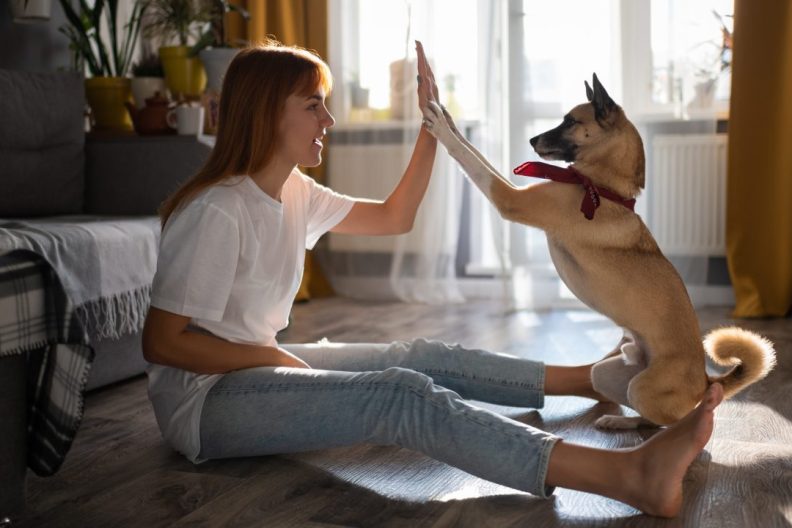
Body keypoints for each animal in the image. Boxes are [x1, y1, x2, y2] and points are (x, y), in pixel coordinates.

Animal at [420, 63, 772, 424]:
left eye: (570, 122)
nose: (531, 139)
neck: (600, 186)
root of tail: (705, 380)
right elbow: (475, 152)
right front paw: (446, 116)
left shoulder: (508, 198)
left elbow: (470, 159)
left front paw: (441, 127)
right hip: (604, 374)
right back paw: (619, 407)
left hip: (644, 389)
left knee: (662, 423)